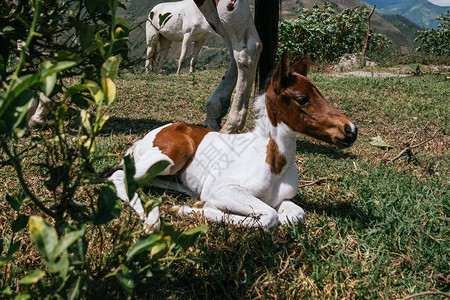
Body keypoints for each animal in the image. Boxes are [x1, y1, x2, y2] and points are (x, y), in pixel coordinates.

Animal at [107, 52, 356, 230]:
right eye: (302, 99)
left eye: (319, 93)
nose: (350, 130)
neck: (273, 162)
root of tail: (147, 137)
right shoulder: (223, 189)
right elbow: (270, 216)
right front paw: (187, 209)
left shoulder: (279, 199)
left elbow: (294, 214)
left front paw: (197, 205)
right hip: (168, 158)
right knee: (118, 177)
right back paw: (153, 221)